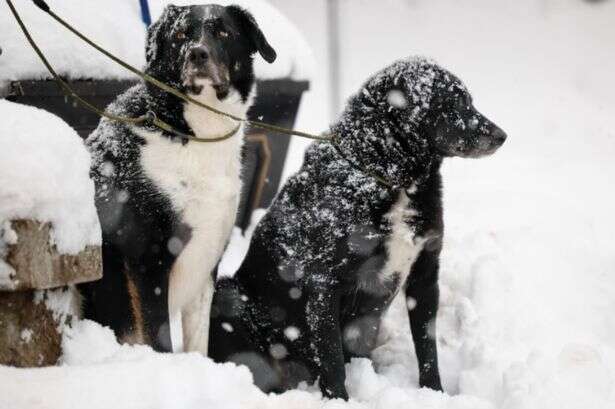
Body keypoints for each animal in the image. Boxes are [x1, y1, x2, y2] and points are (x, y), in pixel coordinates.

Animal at [80, 3, 276, 352]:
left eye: (224, 32)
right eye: (181, 34)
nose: (197, 53)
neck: (191, 133)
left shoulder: (206, 259)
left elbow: (198, 341)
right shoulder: (148, 260)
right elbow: (160, 339)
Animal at [209, 57, 508, 398]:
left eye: (469, 101)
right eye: (453, 103)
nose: (502, 135)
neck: (391, 175)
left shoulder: (425, 275)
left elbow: (427, 347)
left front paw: (434, 393)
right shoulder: (323, 283)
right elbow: (333, 360)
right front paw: (339, 400)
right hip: (228, 294)